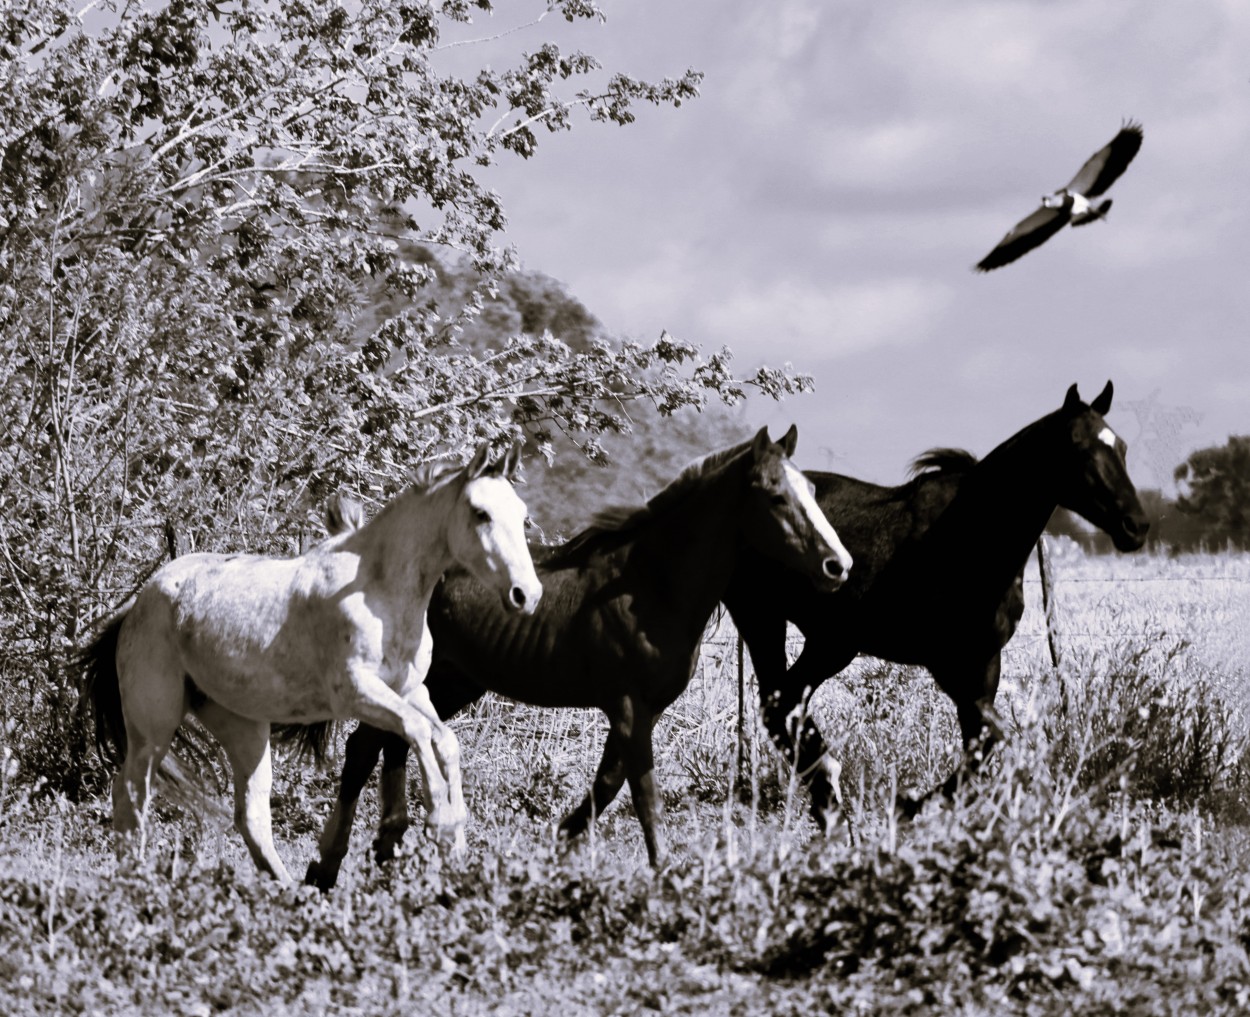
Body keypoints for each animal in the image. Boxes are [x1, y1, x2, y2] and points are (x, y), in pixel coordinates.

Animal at [80, 444, 540, 884]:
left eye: (523, 516)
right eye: (480, 513)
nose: (527, 595)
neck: (378, 591)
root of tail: (137, 607)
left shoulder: (409, 690)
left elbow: (444, 740)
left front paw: (454, 838)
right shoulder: (357, 693)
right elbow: (417, 731)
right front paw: (440, 824)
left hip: (242, 726)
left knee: (250, 817)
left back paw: (289, 892)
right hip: (153, 726)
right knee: (130, 797)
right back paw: (136, 881)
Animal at [303, 429, 855, 889]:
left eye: (811, 490)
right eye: (776, 495)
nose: (838, 566)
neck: (649, 588)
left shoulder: (641, 709)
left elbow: (608, 784)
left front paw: (555, 846)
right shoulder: (630, 707)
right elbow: (644, 794)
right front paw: (663, 874)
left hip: (450, 681)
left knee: (389, 743)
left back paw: (386, 847)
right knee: (362, 748)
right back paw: (327, 868)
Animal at [725, 377, 1150, 824]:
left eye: (1121, 447)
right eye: (1077, 447)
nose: (1135, 527)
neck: (967, 537)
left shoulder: (984, 660)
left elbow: (980, 745)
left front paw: (918, 804)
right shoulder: (947, 662)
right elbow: (990, 737)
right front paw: (909, 804)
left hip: (817, 637)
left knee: (785, 705)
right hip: (793, 628)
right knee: (779, 705)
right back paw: (827, 792)